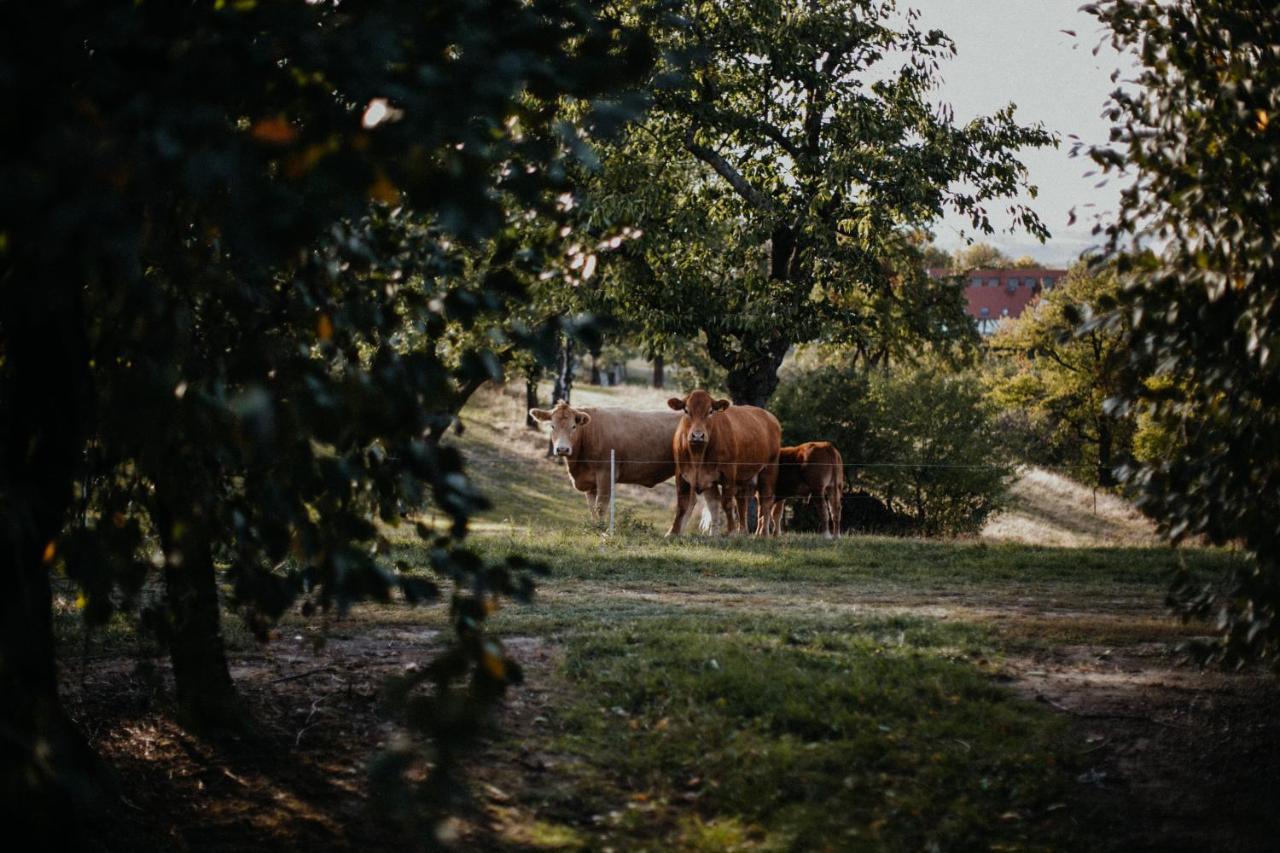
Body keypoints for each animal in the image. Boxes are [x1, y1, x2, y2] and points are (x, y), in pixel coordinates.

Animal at [527, 399, 680, 517]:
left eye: (574, 426)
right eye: (552, 426)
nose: (562, 449)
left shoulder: (606, 475)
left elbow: (600, 507)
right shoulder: (590, 482)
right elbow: (592, 508)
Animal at [670, 389, 778, 535]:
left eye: (710, 411)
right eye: (686, 410)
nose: (697, 436)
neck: (698, 456)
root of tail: (770, 417)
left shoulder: (728, 474)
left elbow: (727, 504)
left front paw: (731, 531)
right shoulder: (683, 474)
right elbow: (684, 505)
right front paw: (673, 532)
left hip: (769, 470)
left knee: (765, 502)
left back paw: (762, 534)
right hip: (743, 477)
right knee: (741, 503)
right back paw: (742, 532)